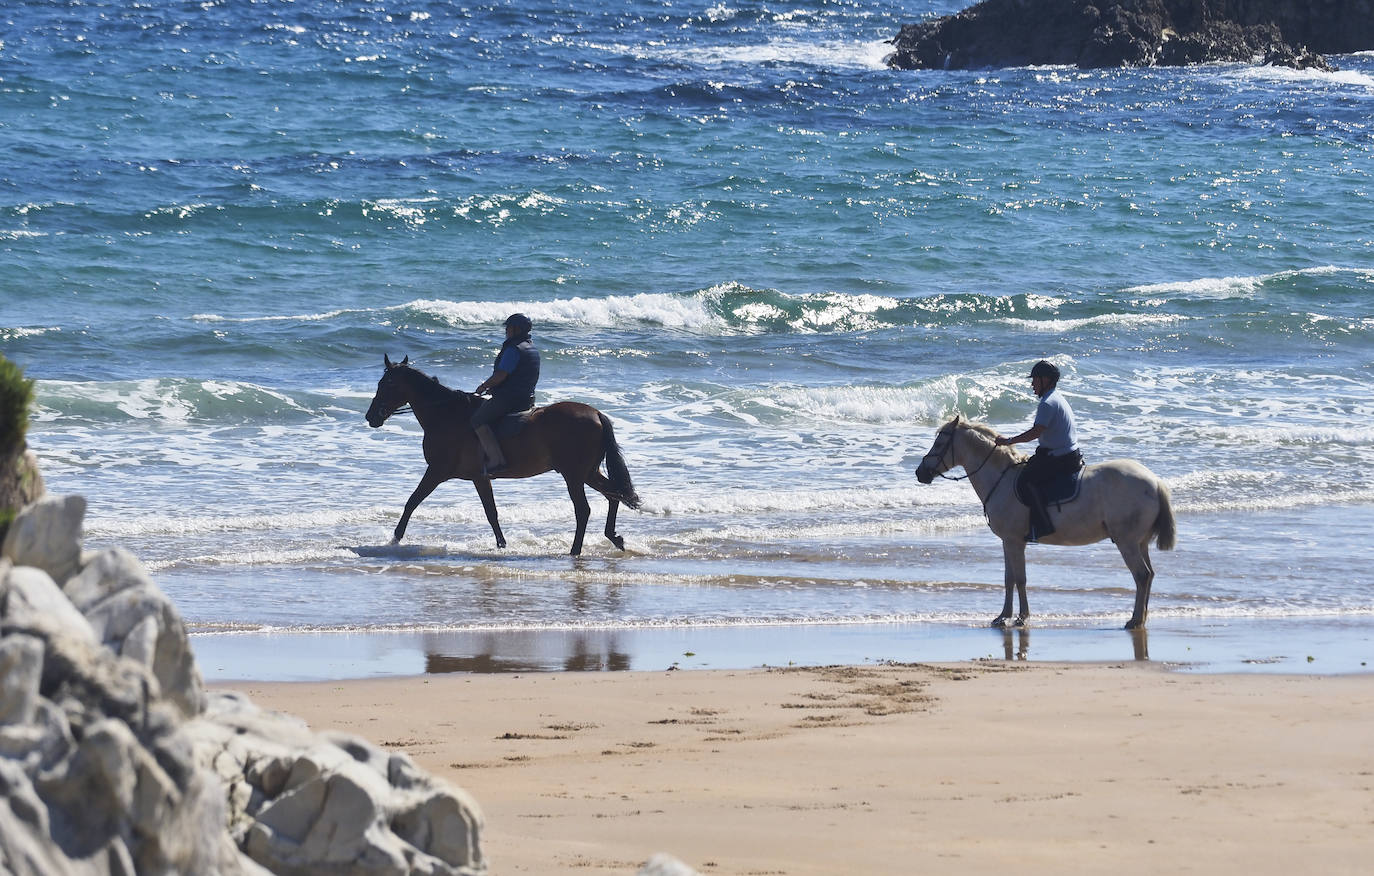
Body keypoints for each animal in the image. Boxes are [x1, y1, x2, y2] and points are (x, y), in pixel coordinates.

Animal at [365, 354, 643, 554]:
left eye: (385, 384)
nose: (370, 417)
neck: (446, 416)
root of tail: (596, 413)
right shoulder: (478, 477)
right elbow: (491, 512)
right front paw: (502, 544)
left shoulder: (439, 471)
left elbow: (413, 501)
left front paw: (395, 539)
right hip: (587, 473)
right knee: (614, 495)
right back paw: (613, 537)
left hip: (573, 475)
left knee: (584, 509)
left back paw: (575, 550)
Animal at [917, 417, 1176, 631]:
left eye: (939, 443)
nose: (920, 473)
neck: (1002, 478)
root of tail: (1155, 481)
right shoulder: (1009, 542)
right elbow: (1009, 578)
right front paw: (1003, 616)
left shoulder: (1013, 541)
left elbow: (1019, 579)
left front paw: (1021, 617)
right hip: (1140, 542)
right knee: (1149, 575)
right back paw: (1142, 618)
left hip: (1127, 542)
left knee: (1141, 575)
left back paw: (1134, 620)